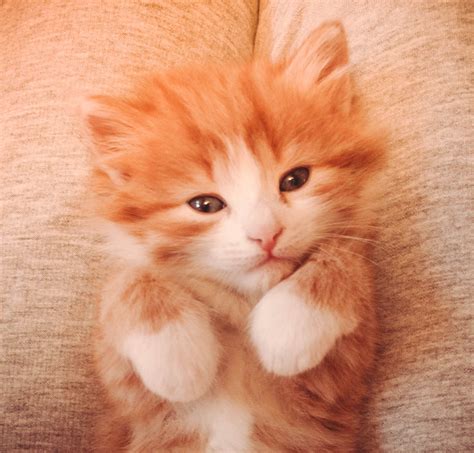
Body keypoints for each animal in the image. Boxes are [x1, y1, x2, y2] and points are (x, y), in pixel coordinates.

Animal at [82, 22, 386, 452]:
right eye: (205, 204)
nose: (266, 235)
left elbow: (345, 257)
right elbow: (127, 279)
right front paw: (175, 357)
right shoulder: (124, 398)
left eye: (295, 179)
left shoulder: (343, 376)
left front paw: (290, 325)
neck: (242, 303)